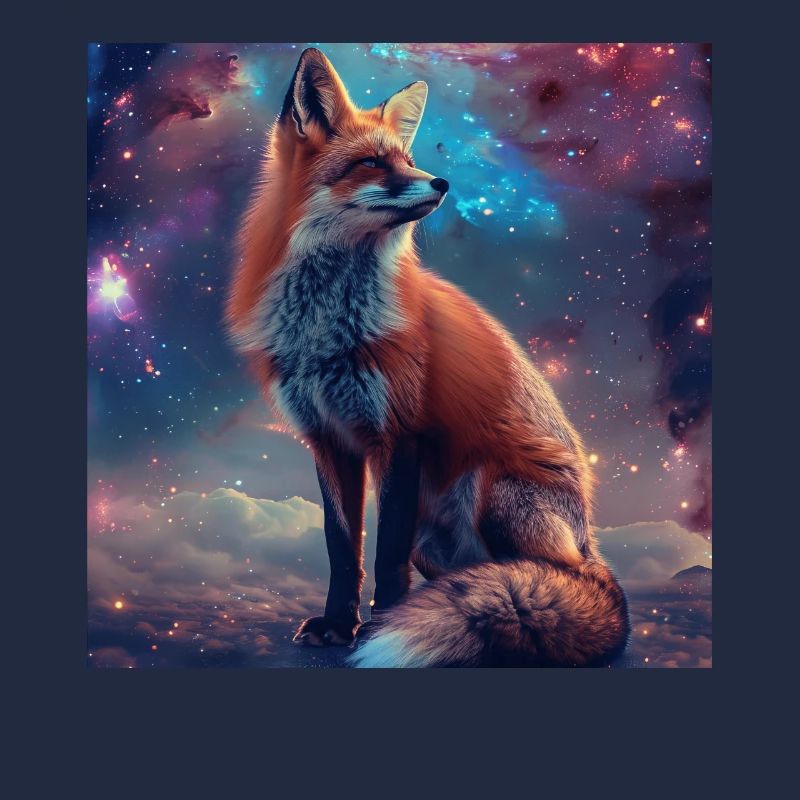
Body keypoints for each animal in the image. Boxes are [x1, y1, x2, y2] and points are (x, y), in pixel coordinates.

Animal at [226, 48, 630, 667]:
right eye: (371, 163)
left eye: (409, 160)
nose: (441, 181)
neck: (326, 332)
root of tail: (592, 545)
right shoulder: (329, 439)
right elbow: (341, 549)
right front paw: (337, 624)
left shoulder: (401, 434)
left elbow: (385, 553)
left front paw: (382, 626)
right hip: (434, 536)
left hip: (489, 488)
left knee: (547, 576)